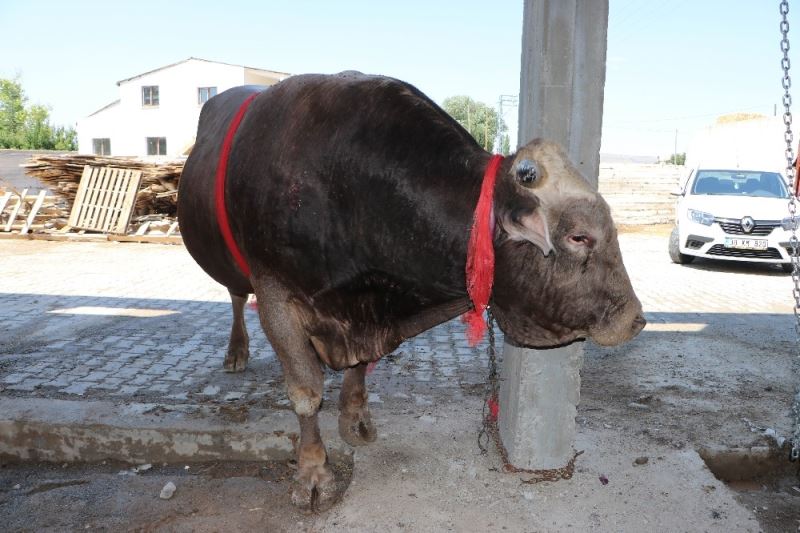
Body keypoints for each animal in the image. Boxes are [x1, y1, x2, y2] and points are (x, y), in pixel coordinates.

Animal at [178, 72, 645, 511]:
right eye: (579, 237)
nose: (635, 318)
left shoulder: (370, 313)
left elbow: (360, 367)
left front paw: (356, 418)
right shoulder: (276, 293)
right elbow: (306, 394)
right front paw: (313, 473)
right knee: (236, 295)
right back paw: (236, 352)